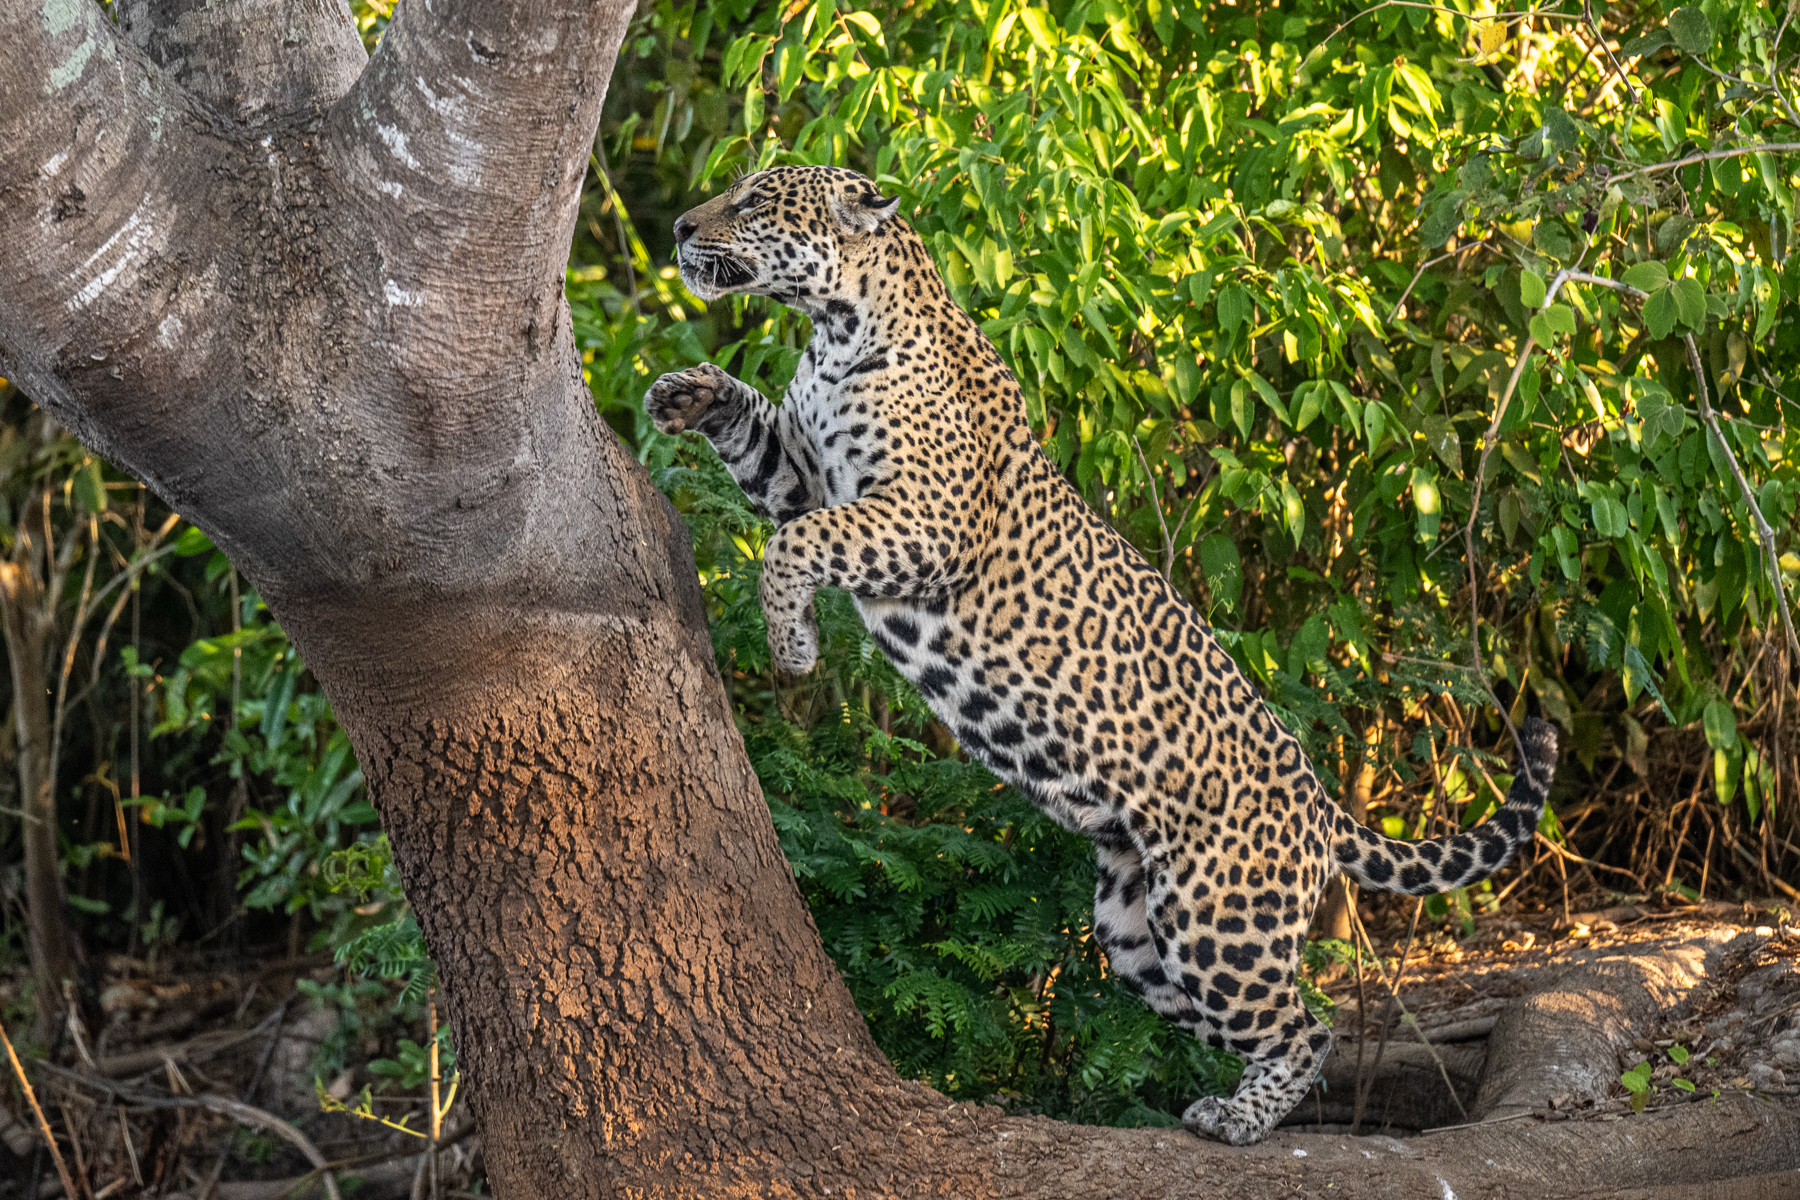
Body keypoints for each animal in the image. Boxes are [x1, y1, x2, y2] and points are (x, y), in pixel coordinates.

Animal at [642, 165, 1559, 1146]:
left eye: (753, 200)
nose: (679, 225)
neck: (836, 328)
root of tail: (1318, 802)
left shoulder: (927, 518)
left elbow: (795, 544)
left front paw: (793, 644)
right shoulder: (807, 473)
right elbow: (764, 449)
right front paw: (685, 390)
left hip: (1218, 917)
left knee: (1306, 1025)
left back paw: (1239, 1120)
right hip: (1136, 930)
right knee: (1238, 1009)